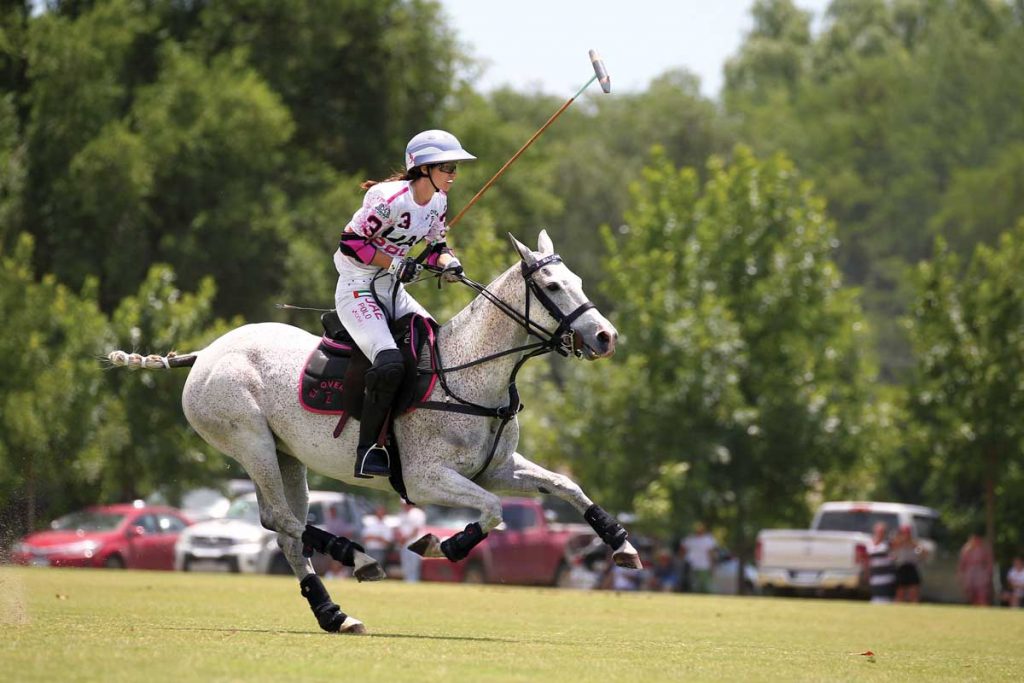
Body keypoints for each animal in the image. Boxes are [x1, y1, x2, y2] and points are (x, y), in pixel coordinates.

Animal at [108, 231, 634, 634]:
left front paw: (622, 544)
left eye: (577, 281)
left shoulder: (496, 468)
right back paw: (356, 560)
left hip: (286, 456)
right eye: (552, 285)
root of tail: (204, 353)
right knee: (281, 519)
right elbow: (494, 511)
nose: (606, 337)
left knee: (281, 529)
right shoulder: (425, 479)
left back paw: (334, 612)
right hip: (248, 441)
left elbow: (566, 485)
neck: (469, 373)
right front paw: (441, 544)